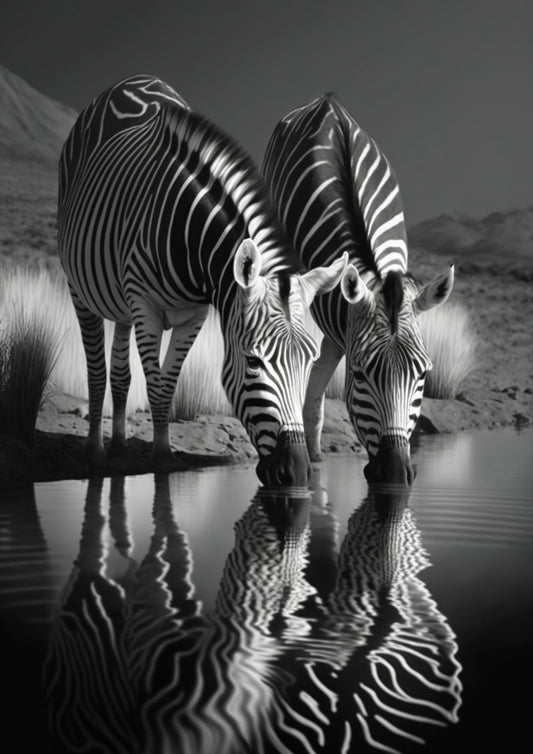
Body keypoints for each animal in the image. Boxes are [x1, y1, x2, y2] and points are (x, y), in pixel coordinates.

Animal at [57, 76, 348, 486]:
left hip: (122, 305)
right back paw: (96, 452)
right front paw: (160, 459)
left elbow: (167, 382)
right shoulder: (146, 307)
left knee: (120, 373)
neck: (190, 237)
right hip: (81, 288)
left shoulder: (193, 314)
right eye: (253, 362)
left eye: (308, 362)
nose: (298, 473)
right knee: (97, 370)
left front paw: (156, 453)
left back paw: (118, 447)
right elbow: (158, 386)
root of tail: (131, 82)